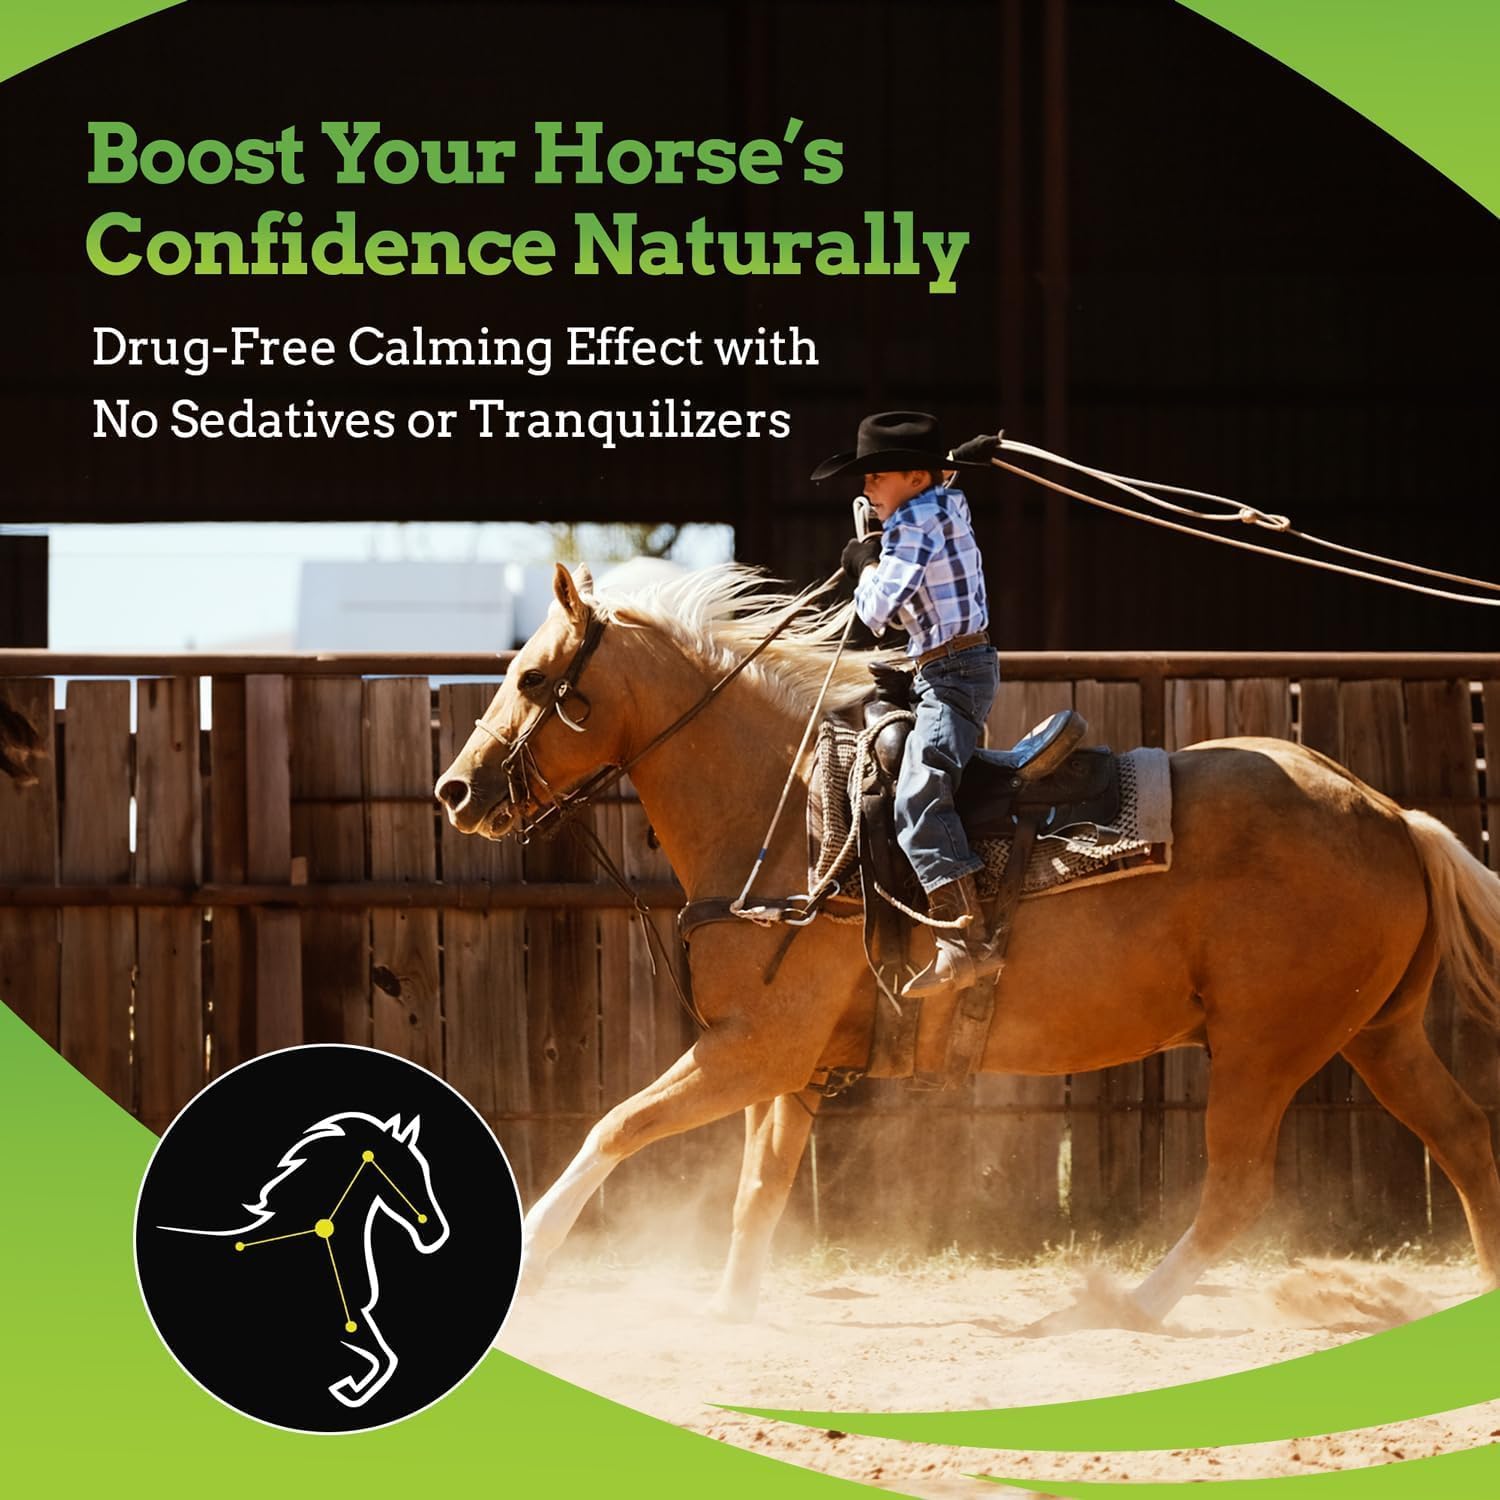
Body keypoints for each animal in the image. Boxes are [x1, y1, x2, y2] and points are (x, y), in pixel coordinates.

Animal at [159, 1111, 449, 1407]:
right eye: (404, 1173)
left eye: (421, 1171)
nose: (435, 1232)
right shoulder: (343, 1323)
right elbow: (384, 1358)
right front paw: (349, 1389)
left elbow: (384, 1357)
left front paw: (349, 1389)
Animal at [434, 561, 1500, 1326]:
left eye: (533, 676)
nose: (455, 789)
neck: (794, 818)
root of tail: (1392, 817)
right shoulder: (784, 1064)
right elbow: (757, 1186)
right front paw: (729, 1310)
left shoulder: (752, 1050)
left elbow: (616, 1127)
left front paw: (538, 1256)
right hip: (1379, 1037)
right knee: (1465, 1140)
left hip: (1265, 1049)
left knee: (1238, 1190)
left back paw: (1114, 1309)